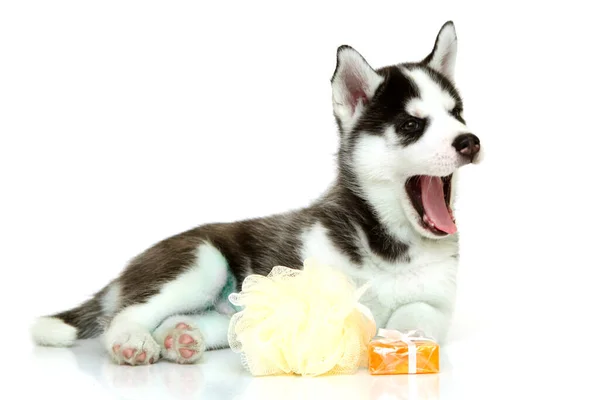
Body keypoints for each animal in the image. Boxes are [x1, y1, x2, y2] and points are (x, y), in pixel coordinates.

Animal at [31, 21, 482, 366]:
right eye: (410, 125)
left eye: (457, 114)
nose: (470, 141)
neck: (392, 244)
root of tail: (126, 272)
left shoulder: (437, 304)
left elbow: (417, 313)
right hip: (200, 262)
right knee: (126, 314)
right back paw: (132, 341)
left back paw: (181, 336)